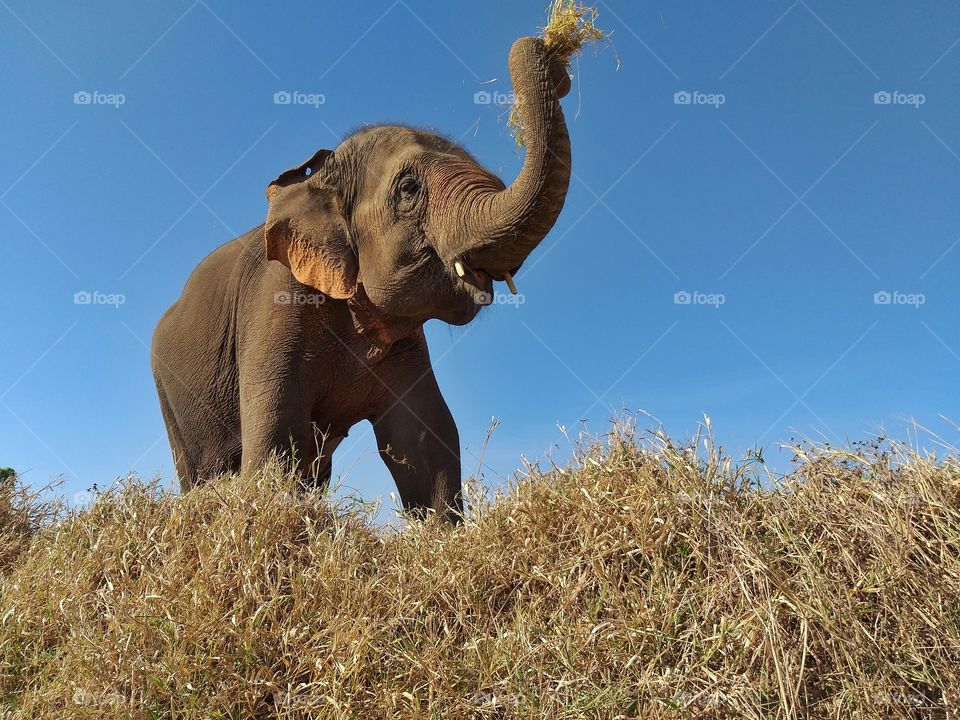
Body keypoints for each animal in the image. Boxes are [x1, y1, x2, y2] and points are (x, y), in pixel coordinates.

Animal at [151, 37, 572, 521]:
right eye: (408, 189)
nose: (549, 52)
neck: (322, 180)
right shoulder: (273, 302)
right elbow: (276, 432)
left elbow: (423, 438)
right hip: (170, 392)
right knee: (203, 468)